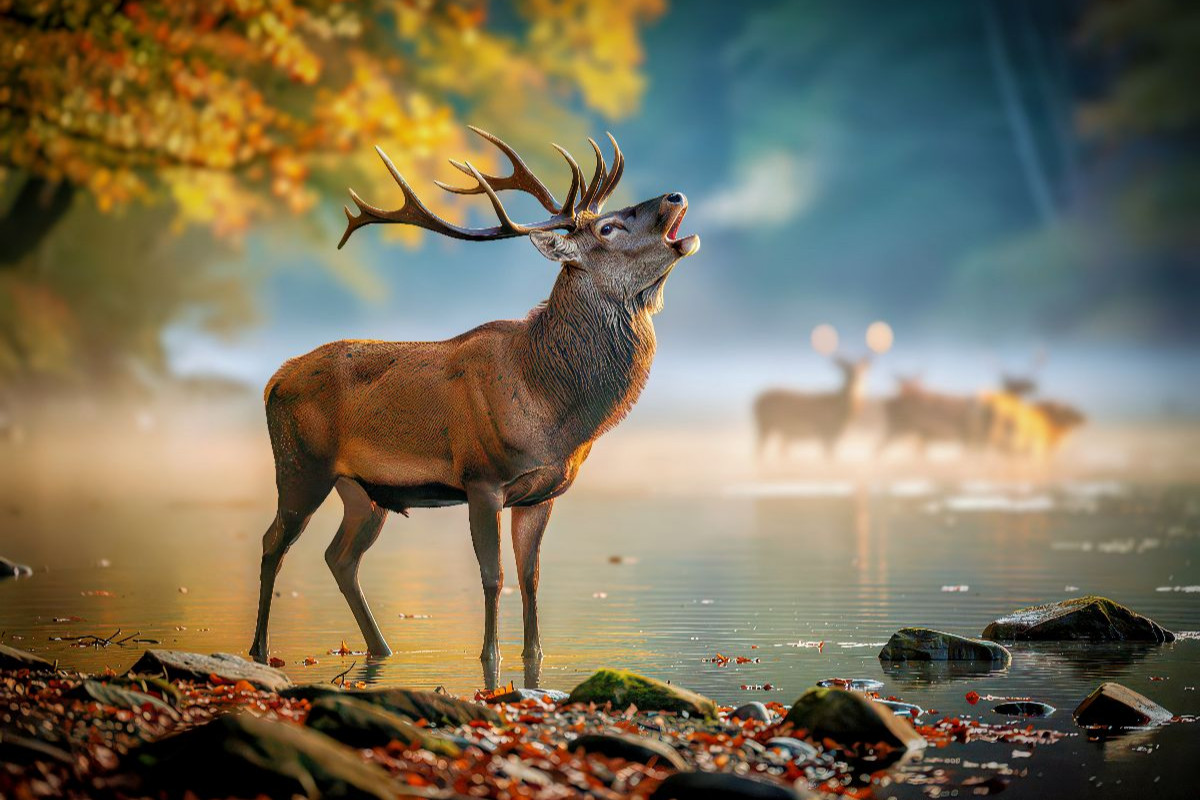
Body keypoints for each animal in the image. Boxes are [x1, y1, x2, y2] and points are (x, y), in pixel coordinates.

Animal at [247, 127, 699, 679]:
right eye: (608, 227)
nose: (674, 196)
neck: (552, 406)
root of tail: (273, 381)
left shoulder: (542, 493)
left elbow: (530, 577)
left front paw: (535, 657)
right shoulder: (482, 478)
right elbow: (492, 575)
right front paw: (489, 659)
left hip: (363, 490)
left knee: (340, 556)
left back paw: (381, 648)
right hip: (300, 465)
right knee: (273, 542)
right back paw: (260, 649)